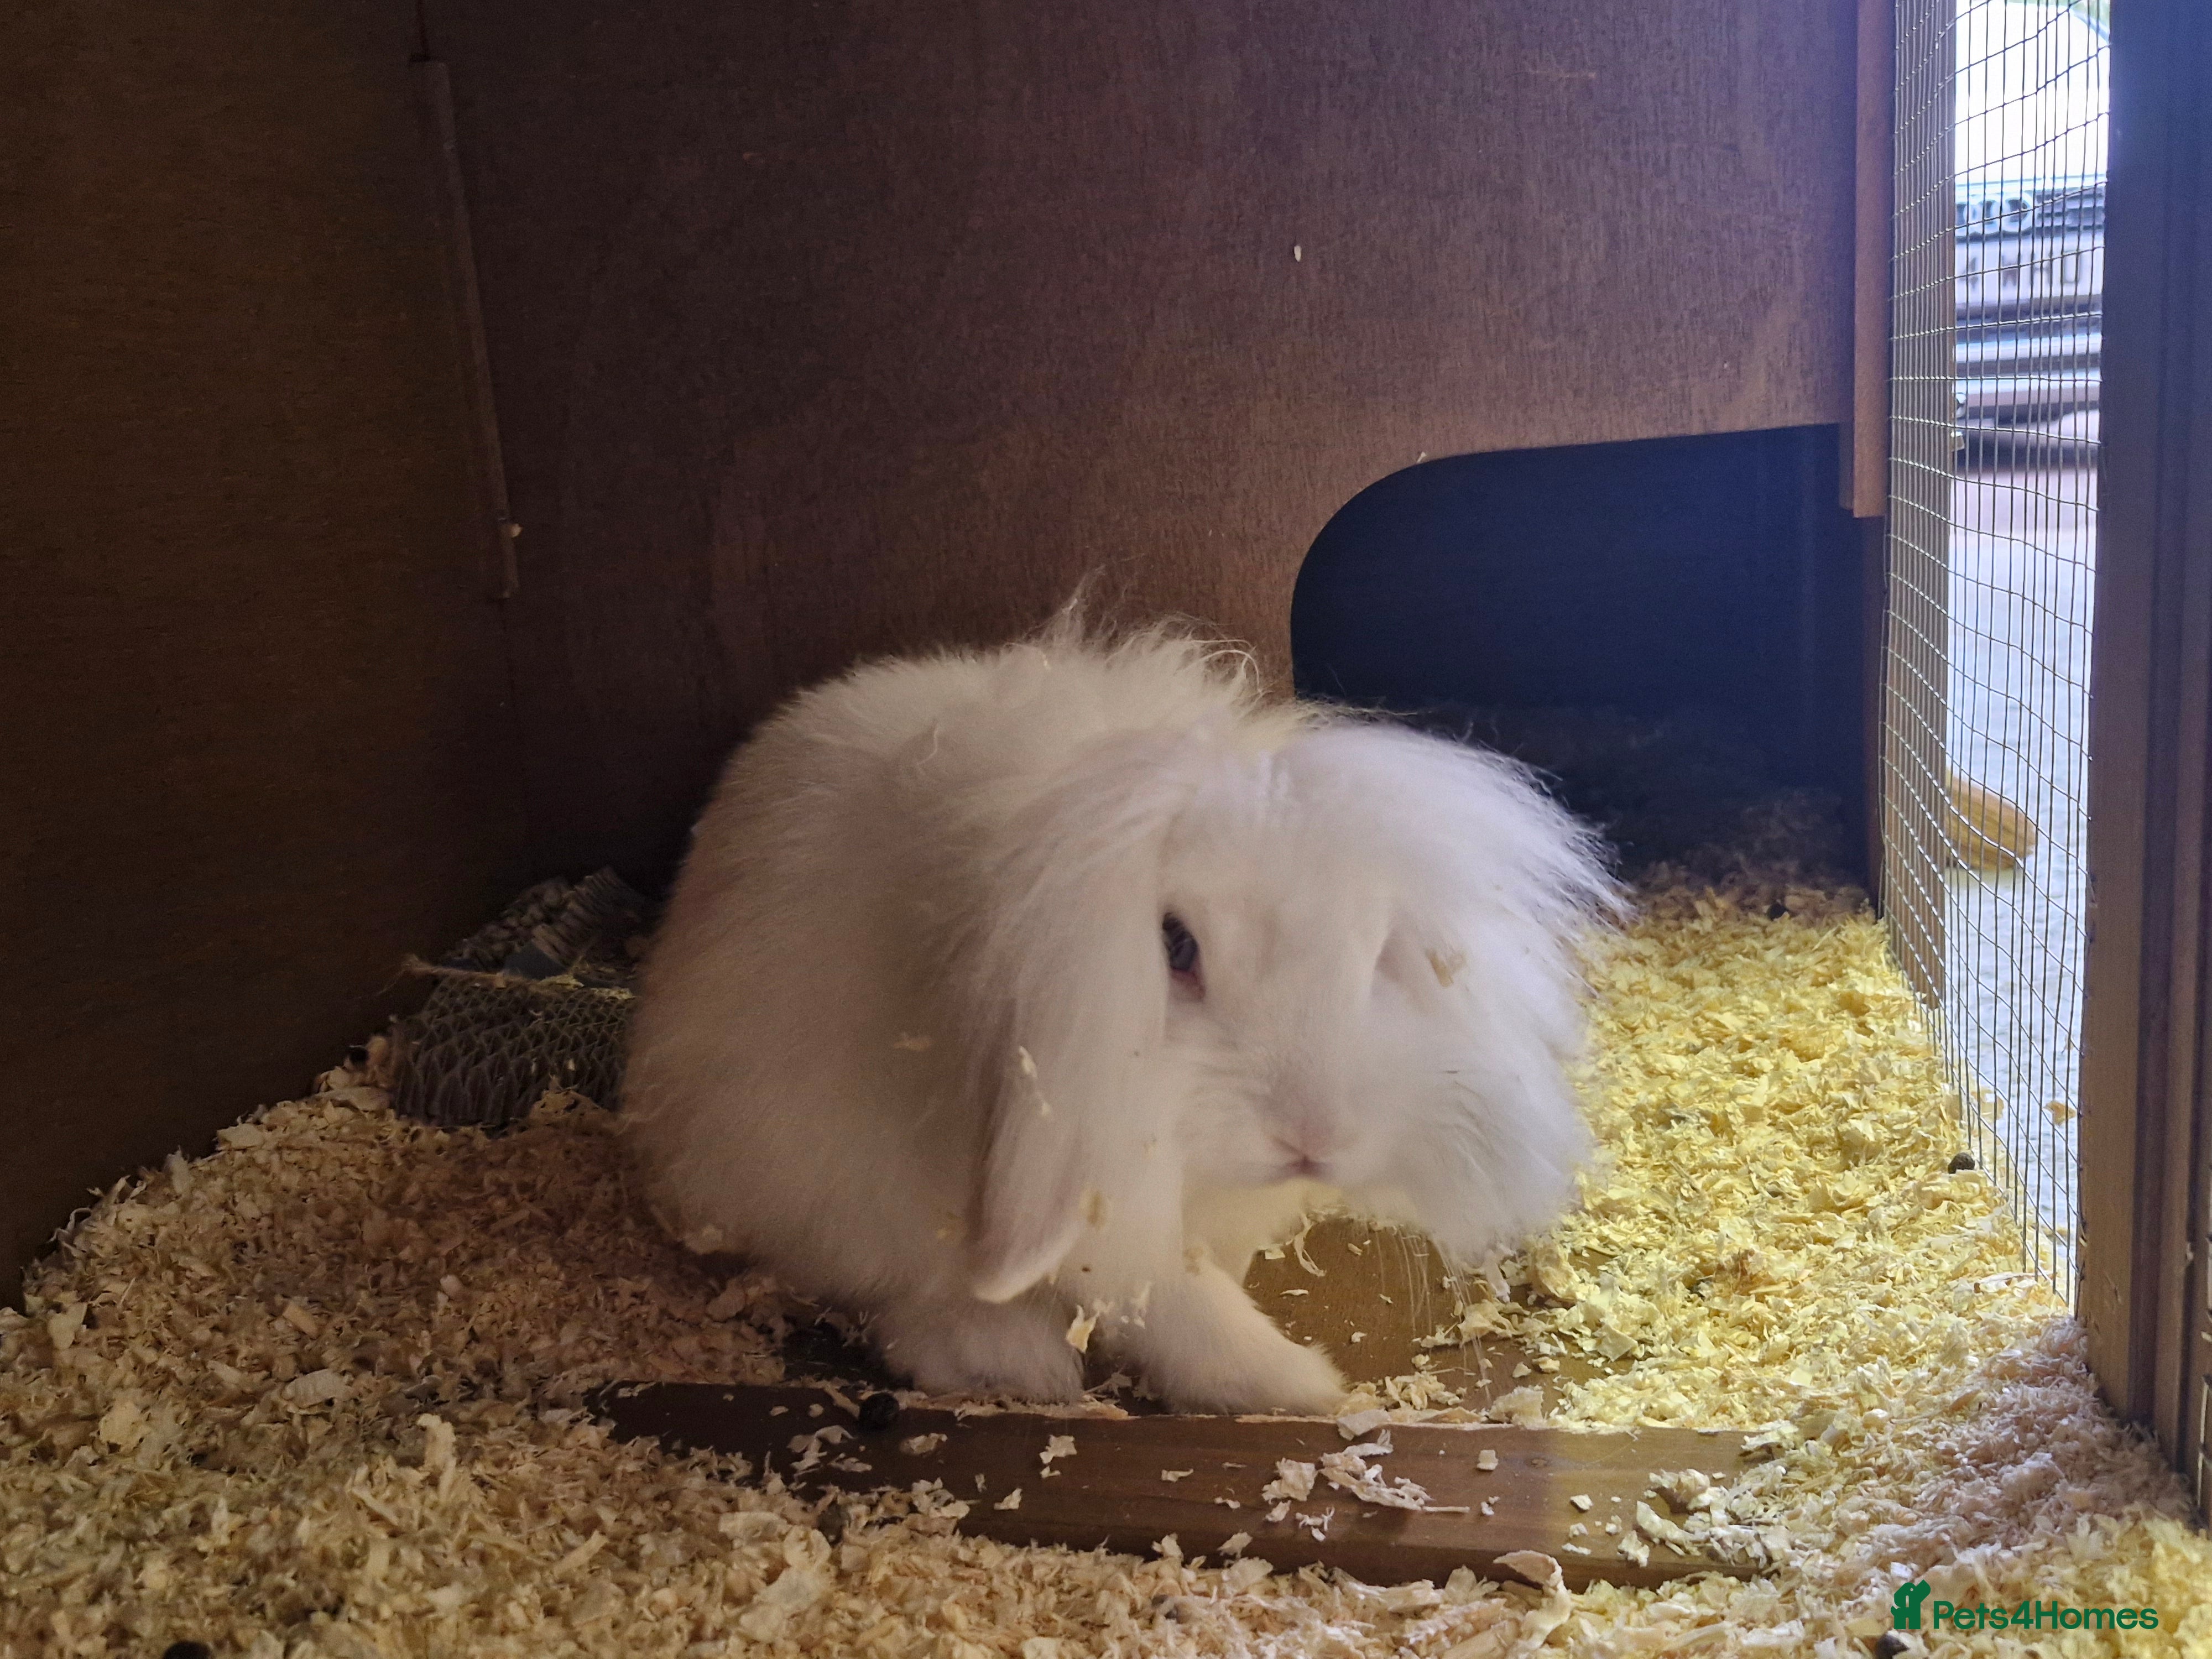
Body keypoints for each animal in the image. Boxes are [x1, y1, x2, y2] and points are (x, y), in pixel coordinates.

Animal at [623, 612, 1618, 1414]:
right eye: (1175, 946)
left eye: (1378, 949)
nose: (1314, 1136)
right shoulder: (1101, 1193)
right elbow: (1176, 1303)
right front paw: (1304, 1388)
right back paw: (1010, 1362)